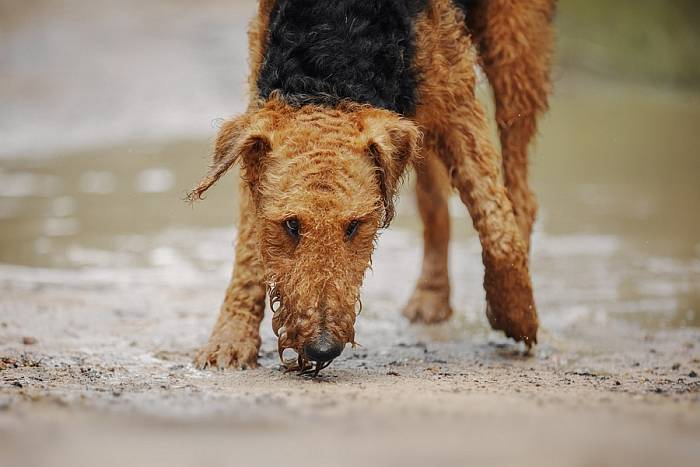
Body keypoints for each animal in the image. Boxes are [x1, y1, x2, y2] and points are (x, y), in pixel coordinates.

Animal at [189, 0, 556, 372]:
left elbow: (497, 226)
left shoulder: (456, 100)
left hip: (510, 47)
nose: (322, 349)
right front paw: (230, 341)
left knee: (520, 194)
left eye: (355, 225)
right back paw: (431, 296)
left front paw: (516, 317)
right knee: (434, 202)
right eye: (291, 225)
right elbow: (249, 252)